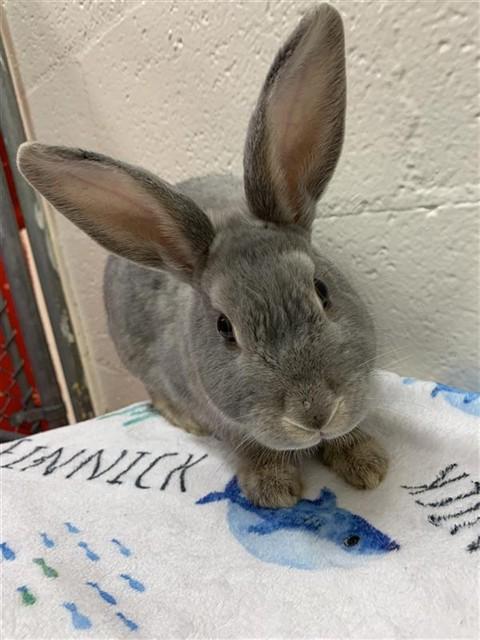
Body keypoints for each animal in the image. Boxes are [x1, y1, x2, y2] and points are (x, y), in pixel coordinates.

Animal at [17, 4, 388, 508]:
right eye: (224, 328)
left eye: (323, 291)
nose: (314, 414)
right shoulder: (219, 414)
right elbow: (244, 444)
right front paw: (273, 488)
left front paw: (368, 463)